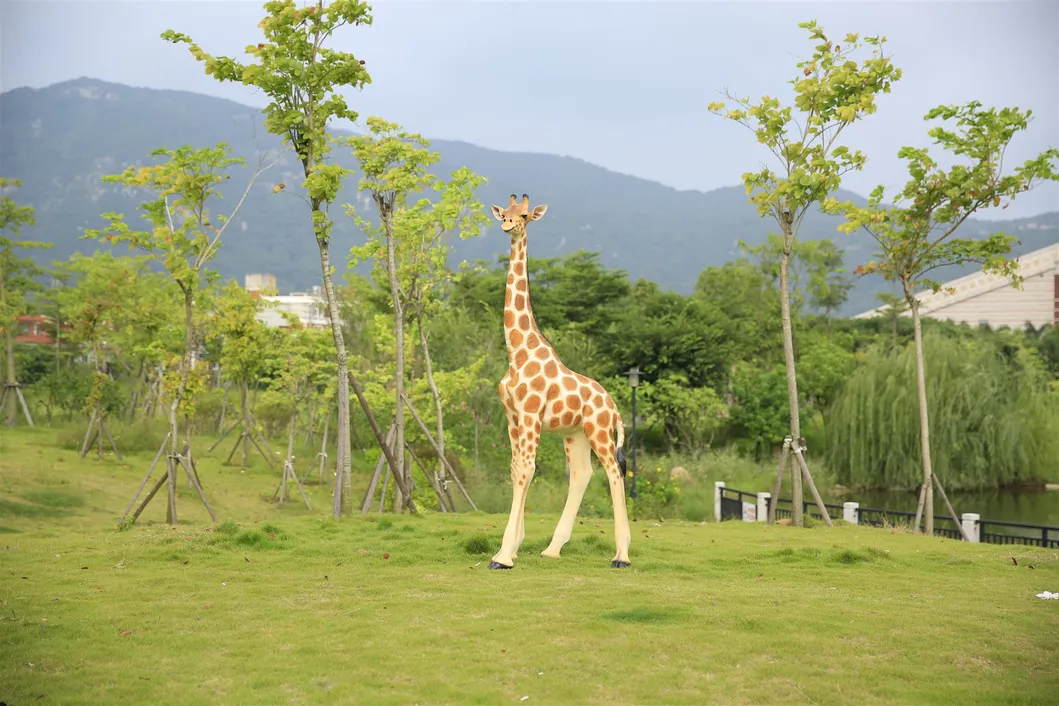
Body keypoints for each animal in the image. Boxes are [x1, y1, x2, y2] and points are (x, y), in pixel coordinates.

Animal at [487, 193, 633, 570]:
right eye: (504, 212)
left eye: (524, 215)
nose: (508, 225)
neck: (516, 351)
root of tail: (614, 407)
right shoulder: (511, 416)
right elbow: (516, 469)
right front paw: (511, 547)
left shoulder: (530, 414)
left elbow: (526, 470)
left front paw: (504, 556)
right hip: (575, 433)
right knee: (582, 474)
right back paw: (553, 548)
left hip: (599, 431)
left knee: (614, 472)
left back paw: (622, 555)